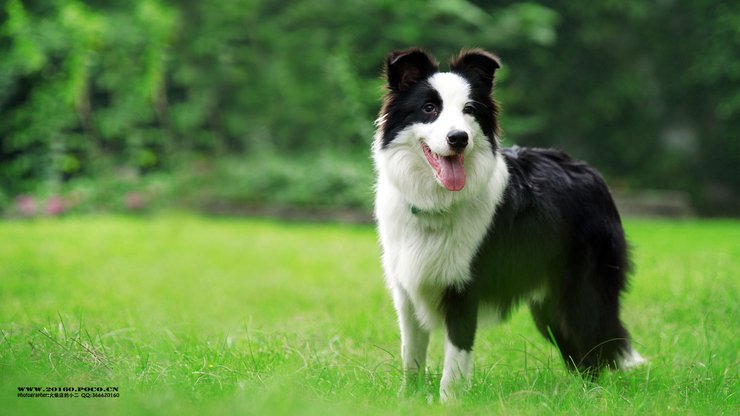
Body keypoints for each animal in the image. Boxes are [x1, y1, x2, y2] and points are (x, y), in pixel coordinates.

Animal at [372, 48, 644, 400]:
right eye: (430, 108)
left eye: (469, 109)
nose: (458, 139)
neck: (436, 202)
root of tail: (592, 172)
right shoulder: (406, 292)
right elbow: (412, 358)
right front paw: (409, 401)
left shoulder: (465, 288)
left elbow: (455, 360)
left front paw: (449, 402)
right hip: (550, 306)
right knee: (579, 352)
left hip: (582, 293)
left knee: (594, 347)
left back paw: (591, 398)